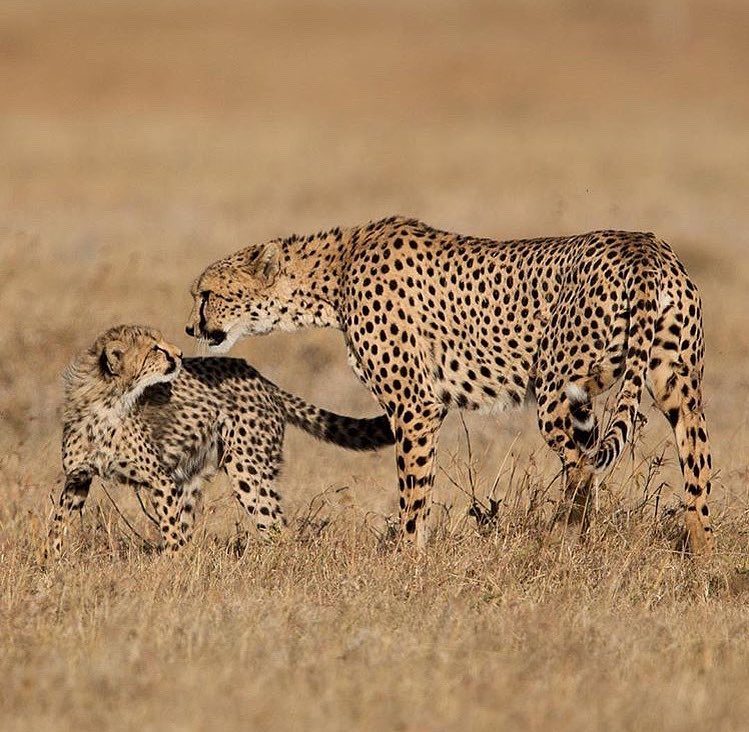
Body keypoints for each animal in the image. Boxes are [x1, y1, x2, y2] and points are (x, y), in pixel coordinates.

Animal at [50, 326, 394, 556]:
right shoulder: (78, 478)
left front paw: (171, 568)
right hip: (194, 475)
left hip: (247, 470)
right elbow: (58, 521)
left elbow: (170, 529)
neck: (107, 401)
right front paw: (51, 561)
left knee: (277, 527)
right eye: (154, 349)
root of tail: (260, 377)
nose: (179, 354)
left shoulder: (161, 480)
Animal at [187, 220, 712, 552]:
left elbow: (414, 493)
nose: (191, 327)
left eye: (206, 294)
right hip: (677, 389)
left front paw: (407, 562)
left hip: (556, 390)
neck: (333, 274)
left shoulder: (415, 405)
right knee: (692, 469)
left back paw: (564, 541)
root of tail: (642, 247)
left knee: (582, 464)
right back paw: (698, 561)